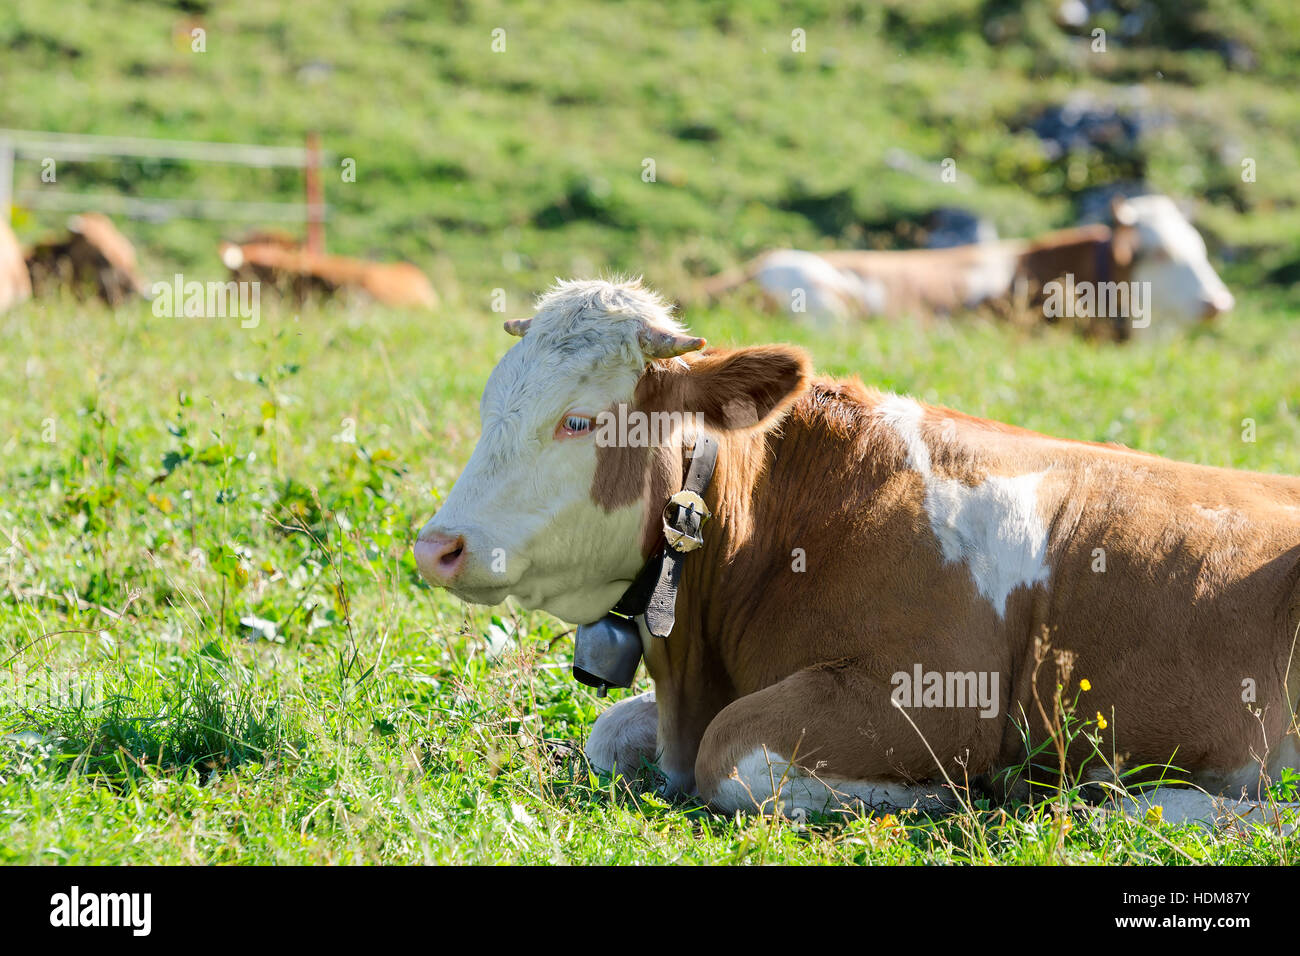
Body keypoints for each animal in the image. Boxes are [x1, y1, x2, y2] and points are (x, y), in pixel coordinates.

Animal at [416, 277, 1300, 832]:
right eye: (491, 406)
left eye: (580, 420)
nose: (436, 547)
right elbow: (611, 732)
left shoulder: (934, 696)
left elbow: (732, 752)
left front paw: (941, 797)